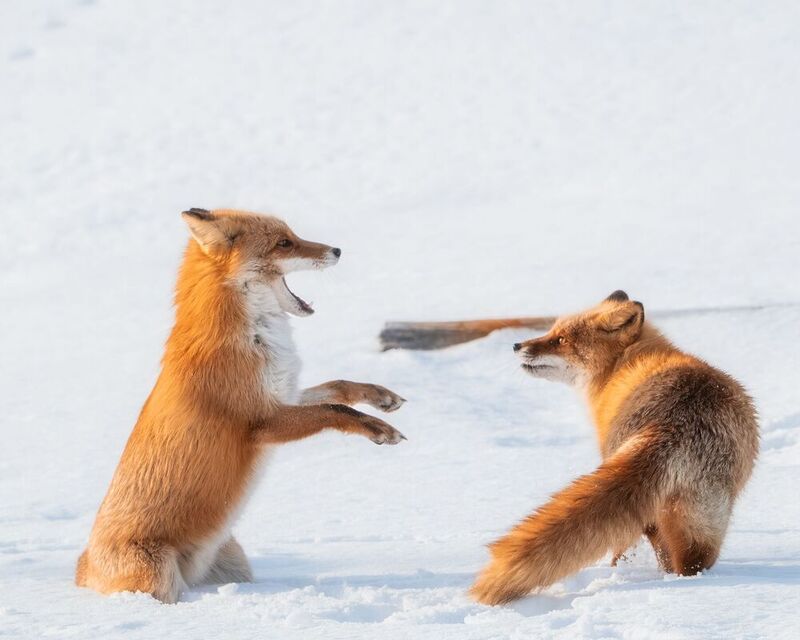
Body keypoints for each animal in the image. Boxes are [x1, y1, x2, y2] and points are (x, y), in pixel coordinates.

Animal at [76, 208, 407, 603]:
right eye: (284, 243)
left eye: (292, 235)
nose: (337, 250)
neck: (254, 336)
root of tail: (82, 565)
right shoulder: (260, 423)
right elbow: (334, 411)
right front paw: (379, 429)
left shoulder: (283, 395)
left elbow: (338, 388)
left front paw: (380, 396)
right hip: (161, 580)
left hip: (235, 561)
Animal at [471, 290, 758, 605]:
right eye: (551, 331)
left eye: (560, 340)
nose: (516, 345)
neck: (623, 365)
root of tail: (675, 422)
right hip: (700, 520)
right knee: (689, 561)